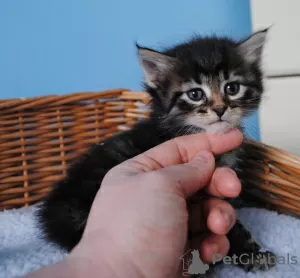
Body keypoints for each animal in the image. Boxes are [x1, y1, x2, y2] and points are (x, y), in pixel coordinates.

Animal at [37, 29, 276, 272]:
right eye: (195, 94)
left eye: (232, 88)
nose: (220, 109)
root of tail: (54, 208)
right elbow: (232, 227)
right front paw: (251, 254)